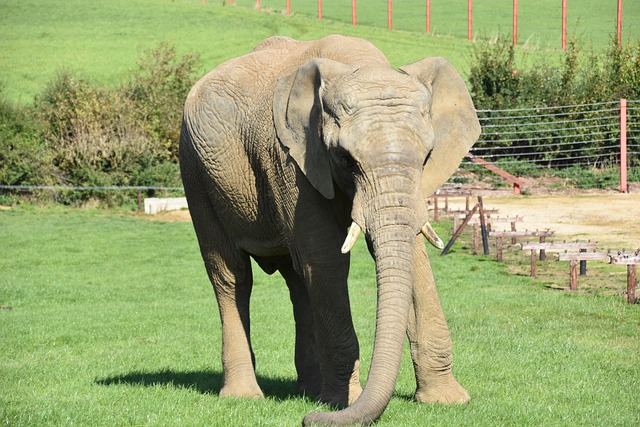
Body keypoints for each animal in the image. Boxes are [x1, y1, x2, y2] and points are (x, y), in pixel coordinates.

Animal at [179, 35, 480, 426]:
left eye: (428, 155)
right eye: (346, 159)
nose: (308, 419)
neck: (362, 66)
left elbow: (413, 255)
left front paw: (447, 402)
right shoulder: (293, 157)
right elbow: (326, 260)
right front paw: (340, 405)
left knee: (298, 280)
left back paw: (308, 391)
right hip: (195, 172)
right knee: (231, 276)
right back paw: (248, 396)